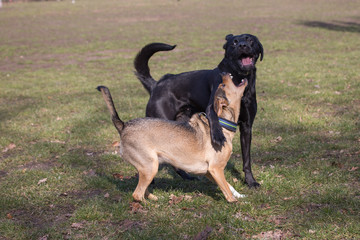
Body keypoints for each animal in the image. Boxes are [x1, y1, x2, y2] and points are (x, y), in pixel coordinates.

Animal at [97, 73, 246, 202]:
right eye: (223, 85)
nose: (225, 73)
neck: (222, 123)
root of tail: (124, 126)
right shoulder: (216, 169)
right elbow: (226, 188)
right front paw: (235, 202)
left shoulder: (210, 172)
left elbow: (228, 185)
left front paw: (240, 195)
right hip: (150, 167)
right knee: (137, 194)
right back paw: (152, 204)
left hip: (148, 168)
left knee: (143, 191)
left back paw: (155, 198)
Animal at [134, 33, 262, 188]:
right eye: (234, 42)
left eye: (250, 40)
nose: (243, 45)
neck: (238, 79)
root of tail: (156, 85)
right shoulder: (212, 107)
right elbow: (214, 121)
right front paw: (218, 136)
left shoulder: (247, 126)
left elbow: (246, 159)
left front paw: (251, 181)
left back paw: (186, 176)